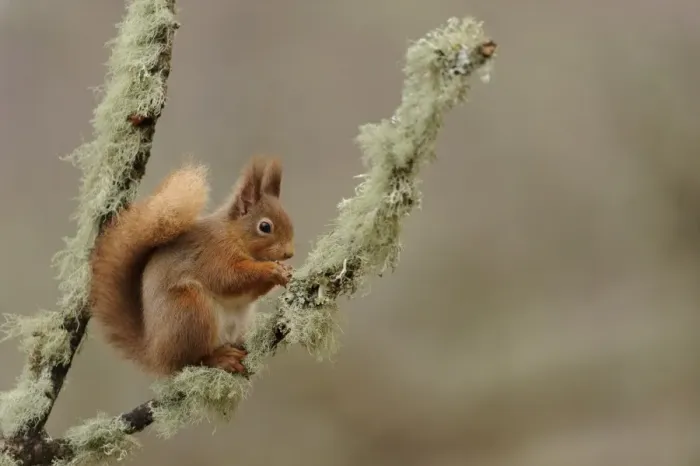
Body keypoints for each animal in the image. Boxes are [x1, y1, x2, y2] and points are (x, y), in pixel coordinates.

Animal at [88, 156, 295, 376]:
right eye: (265, 227)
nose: (289, 253)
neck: (232, 234)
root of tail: (155, 354)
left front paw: (285, 271)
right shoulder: (213, 255)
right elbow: (229, 278)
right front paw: (271, 270)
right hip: (190, 311)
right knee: (191, 360)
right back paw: (221, 359)